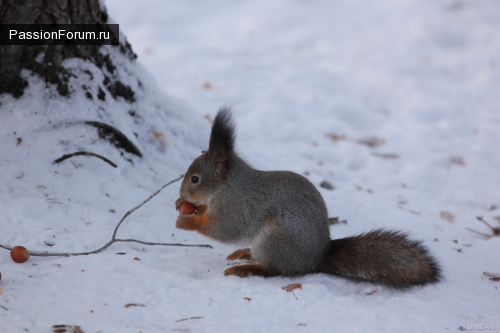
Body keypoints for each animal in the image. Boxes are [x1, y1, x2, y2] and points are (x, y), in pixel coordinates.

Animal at [176, 107, 442, 288]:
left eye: (195, 179)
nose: (181, 195)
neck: (226, 186)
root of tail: (316, 259)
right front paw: (184, 206)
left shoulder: (237, 207)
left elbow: (223, 229)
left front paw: (186, 221)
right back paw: (245, 254)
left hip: (277, 238)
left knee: (277, 270)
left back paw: (249, 268)